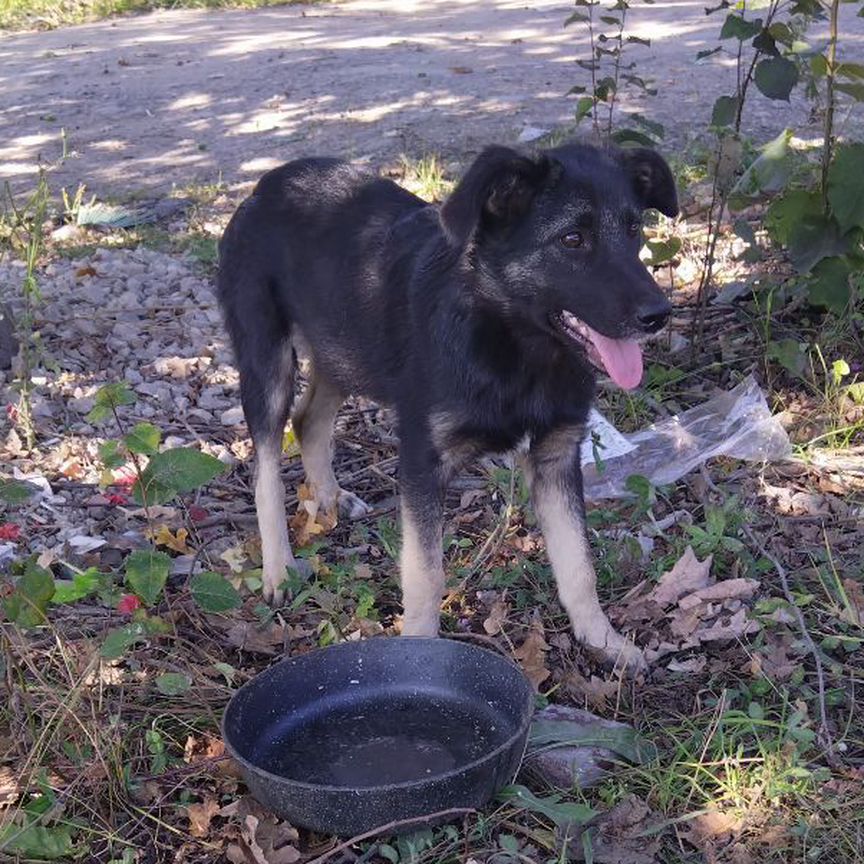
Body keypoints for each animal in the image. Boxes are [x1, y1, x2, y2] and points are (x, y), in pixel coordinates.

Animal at [216, 142, 676, 668]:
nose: (658, 316)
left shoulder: (557, 455)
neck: (516, 344)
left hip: (343, 347)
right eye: (572, 239)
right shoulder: (423, 462)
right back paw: (278, 566)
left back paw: (331, 497)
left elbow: (579, 564)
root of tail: (267, 183)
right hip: (267, 358)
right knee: (266, 463)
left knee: (309, 419)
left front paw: (603, 641)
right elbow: (426, 575)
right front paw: (419, 654)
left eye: (635, 229)